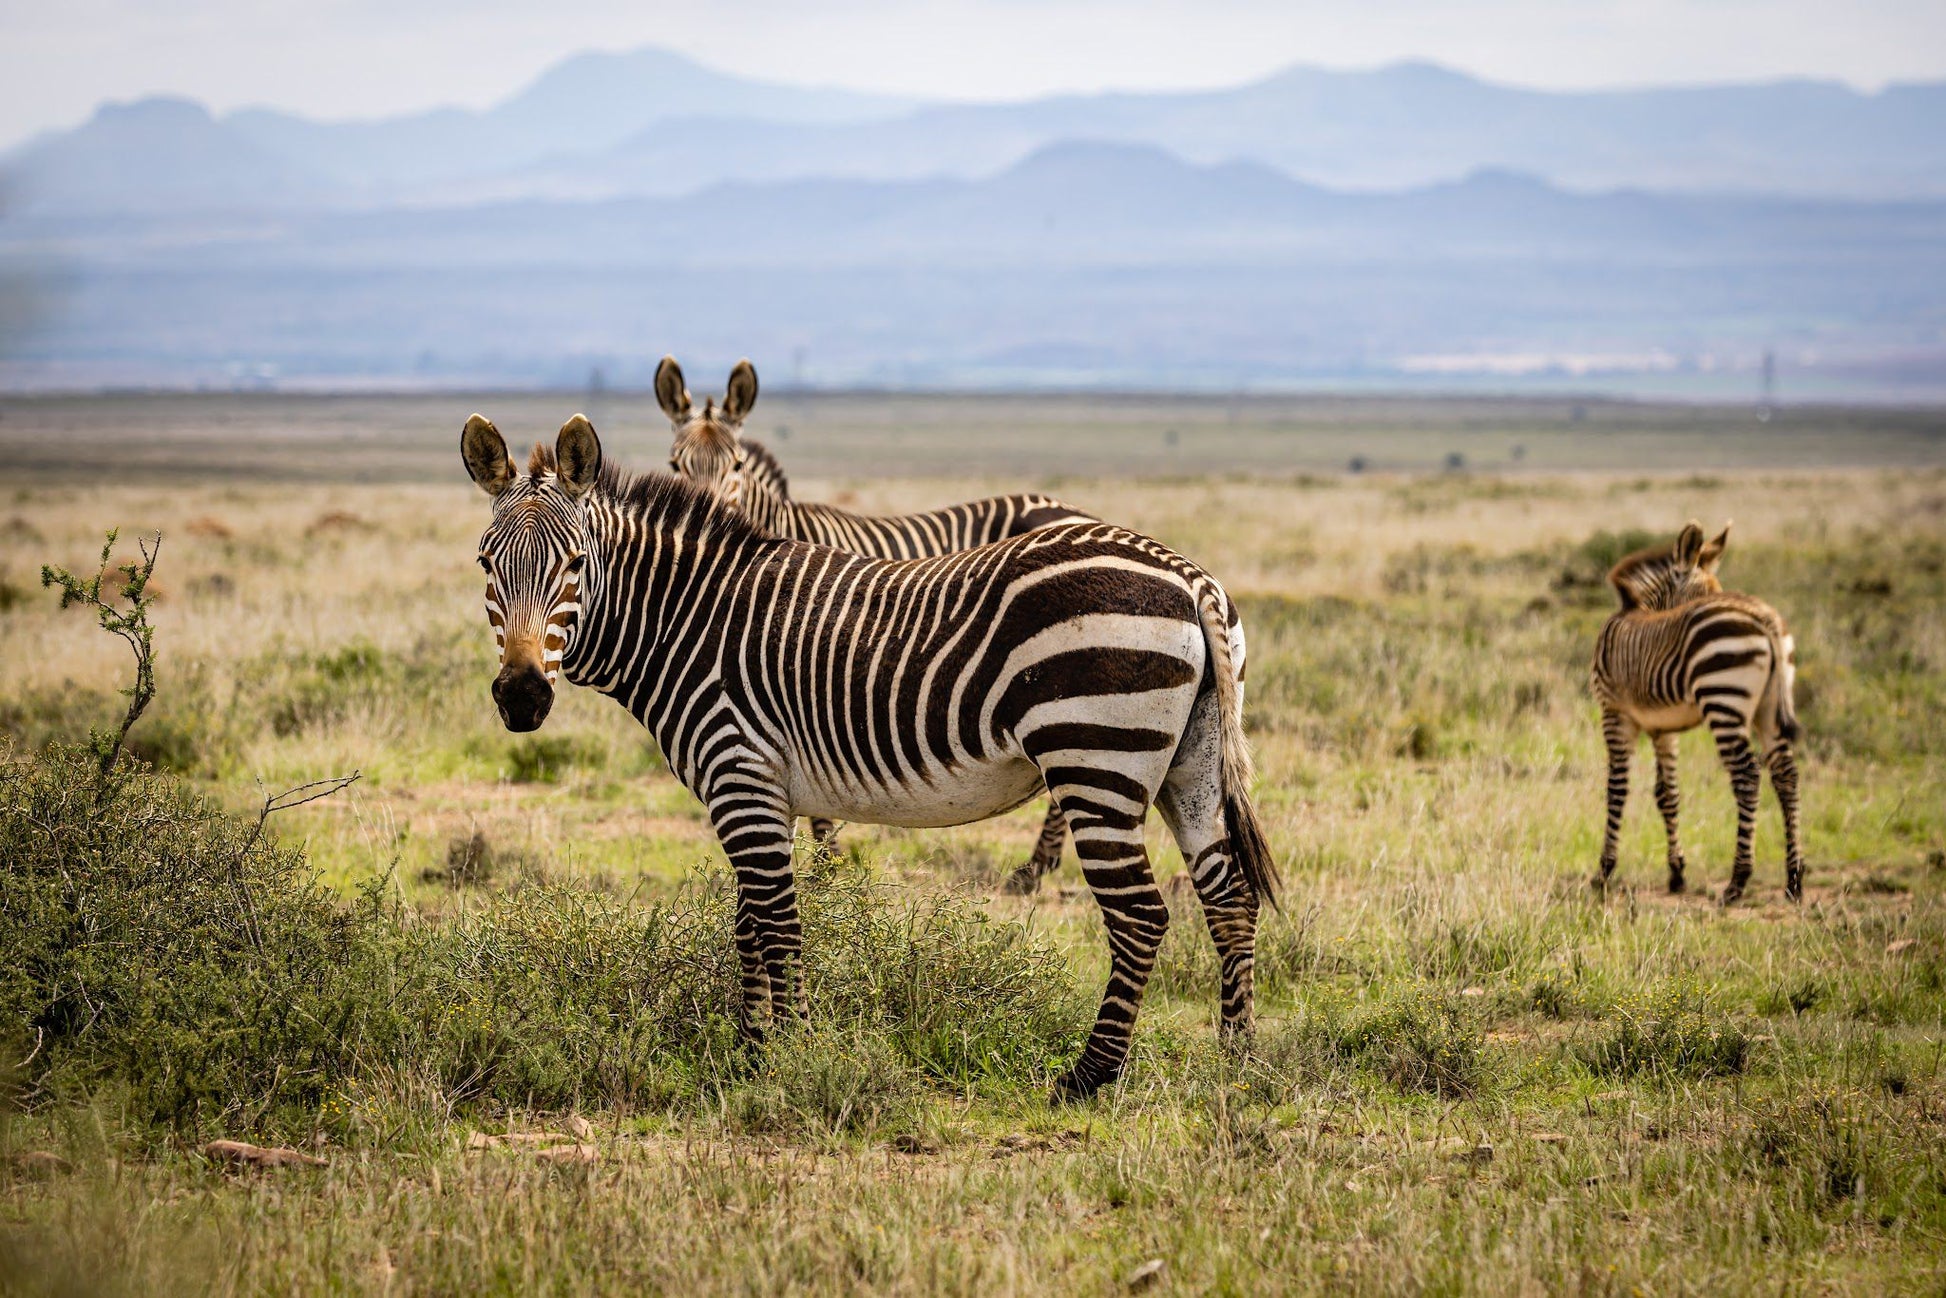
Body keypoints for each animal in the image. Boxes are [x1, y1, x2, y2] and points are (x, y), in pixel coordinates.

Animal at [661, 360, 1105, 899]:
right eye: (675, 464)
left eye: (737, 466)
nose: (701, 517)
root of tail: (1076, 511)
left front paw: (826, 866)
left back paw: (1035, 868)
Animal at [1587, 521, 1798, 910]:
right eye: (1707, 593)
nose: (1722, 600)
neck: (1637, 610)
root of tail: (1764, 618)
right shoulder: (1662, 728)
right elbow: (1667, 794)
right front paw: (1676, 873)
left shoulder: (1614, 713)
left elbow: (1616, 789)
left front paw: (1604, 871)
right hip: (1768, 710)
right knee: (1786, 775)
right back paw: (1794, 879)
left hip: (1723, 700)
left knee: (1748, 776)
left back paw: (1737, 882)